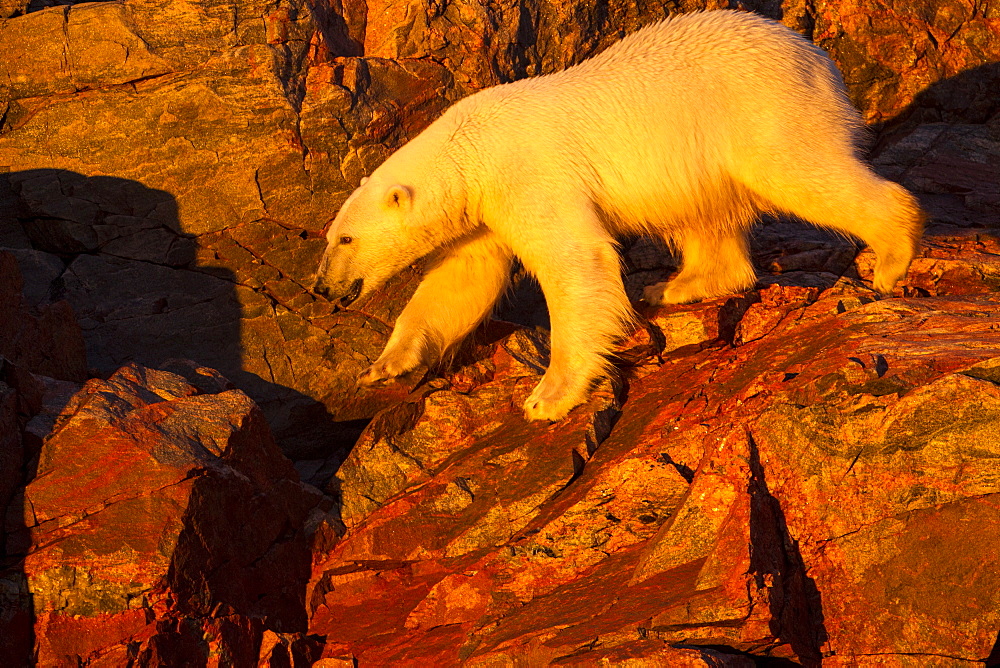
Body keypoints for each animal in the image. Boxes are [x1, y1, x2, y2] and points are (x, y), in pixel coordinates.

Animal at [310, 9, 920, 418]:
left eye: (345, 240)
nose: (321, 287)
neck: (471, 150)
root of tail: (817, 55)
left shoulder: (529, 174)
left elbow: (574, 260)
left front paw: (549, 396)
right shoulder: (486, 211)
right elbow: (461, 277)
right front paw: (386, 364)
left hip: (762, 108)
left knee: (802, 172)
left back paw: (892, 255)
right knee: (706, 215)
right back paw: (676, 285)